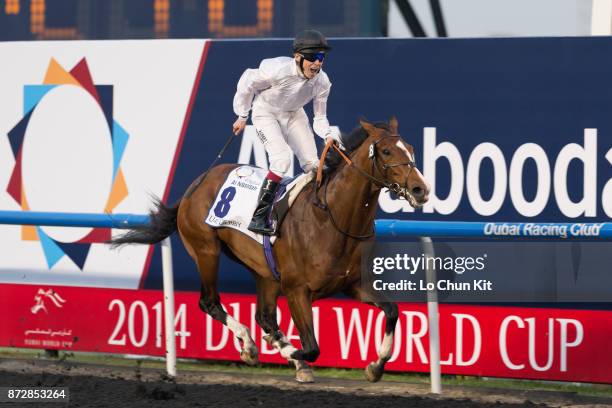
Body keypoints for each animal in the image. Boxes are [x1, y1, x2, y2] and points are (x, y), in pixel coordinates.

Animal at [113, 117, 430, 382]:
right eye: (386, 152)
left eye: (411, 149)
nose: (420, 189)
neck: (333, 217)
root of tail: (196, 184)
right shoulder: (296, 289)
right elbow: (312, 347)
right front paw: (284, 348)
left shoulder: (352, 284)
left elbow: (392, 311)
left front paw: (375, 366)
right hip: (205, 250)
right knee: (210, 302)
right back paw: (250, 344)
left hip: (264, 271)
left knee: (264, 315)